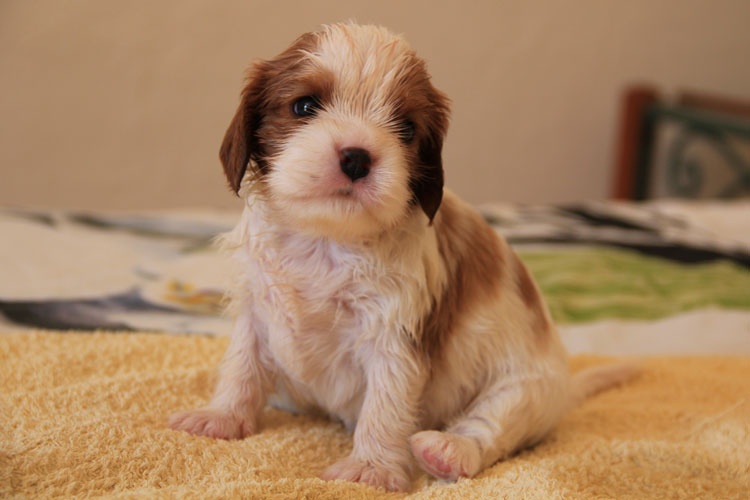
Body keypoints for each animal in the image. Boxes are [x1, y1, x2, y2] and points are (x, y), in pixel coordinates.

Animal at [170, 24, 640, 492]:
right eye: (304, 106)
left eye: (406, 128)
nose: (357, 157)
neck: (326, 239)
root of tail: (564, 389)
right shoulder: (256, 306)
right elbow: (242, 364)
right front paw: (222, 417)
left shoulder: (395, 335)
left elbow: (385, 404)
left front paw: (370, 469)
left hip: (524, 389)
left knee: (490, 425)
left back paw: (448, 450)